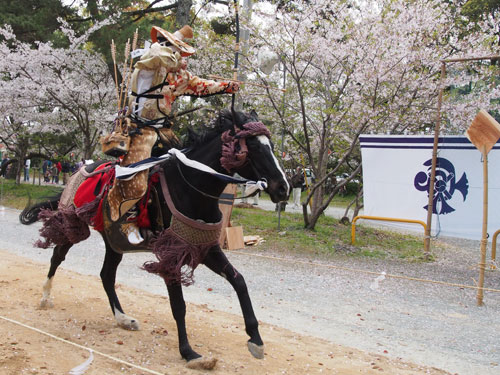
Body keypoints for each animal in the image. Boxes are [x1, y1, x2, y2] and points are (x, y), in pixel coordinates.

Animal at [21, 110, 290, 372]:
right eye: (253, 147)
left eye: (271, 145)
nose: (283, 188)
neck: (191, 187)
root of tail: (81, 169)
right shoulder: (170, 254)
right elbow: (179, 304)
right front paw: (189, 353)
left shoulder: (205, 247)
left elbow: (239, 282)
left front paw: (256, 340)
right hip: (74, 222)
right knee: (58, 256)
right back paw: (45, 297)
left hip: (115, 240)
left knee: (106, 275)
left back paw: (123, 319)